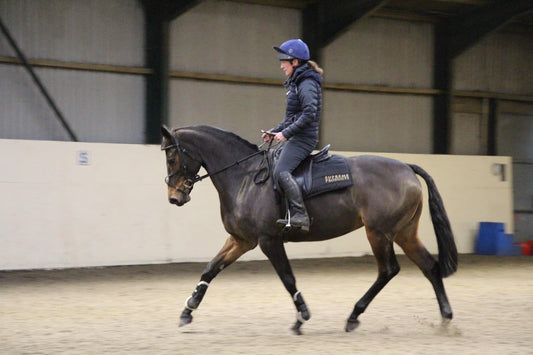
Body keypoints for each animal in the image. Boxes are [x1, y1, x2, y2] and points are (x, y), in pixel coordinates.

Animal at [160, 126, 456, 336]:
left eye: (172, 158)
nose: (174, 198)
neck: (244, 178)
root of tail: (406, 167)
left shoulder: (268, 241)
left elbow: (288, 279)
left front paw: (301, 317)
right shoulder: (242, 240)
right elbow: (211, 268)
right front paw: (188, 309)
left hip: (379, 233)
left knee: (388, 270)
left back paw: (353, 316)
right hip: (404, 233)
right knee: (429, 266)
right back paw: (445, 317)